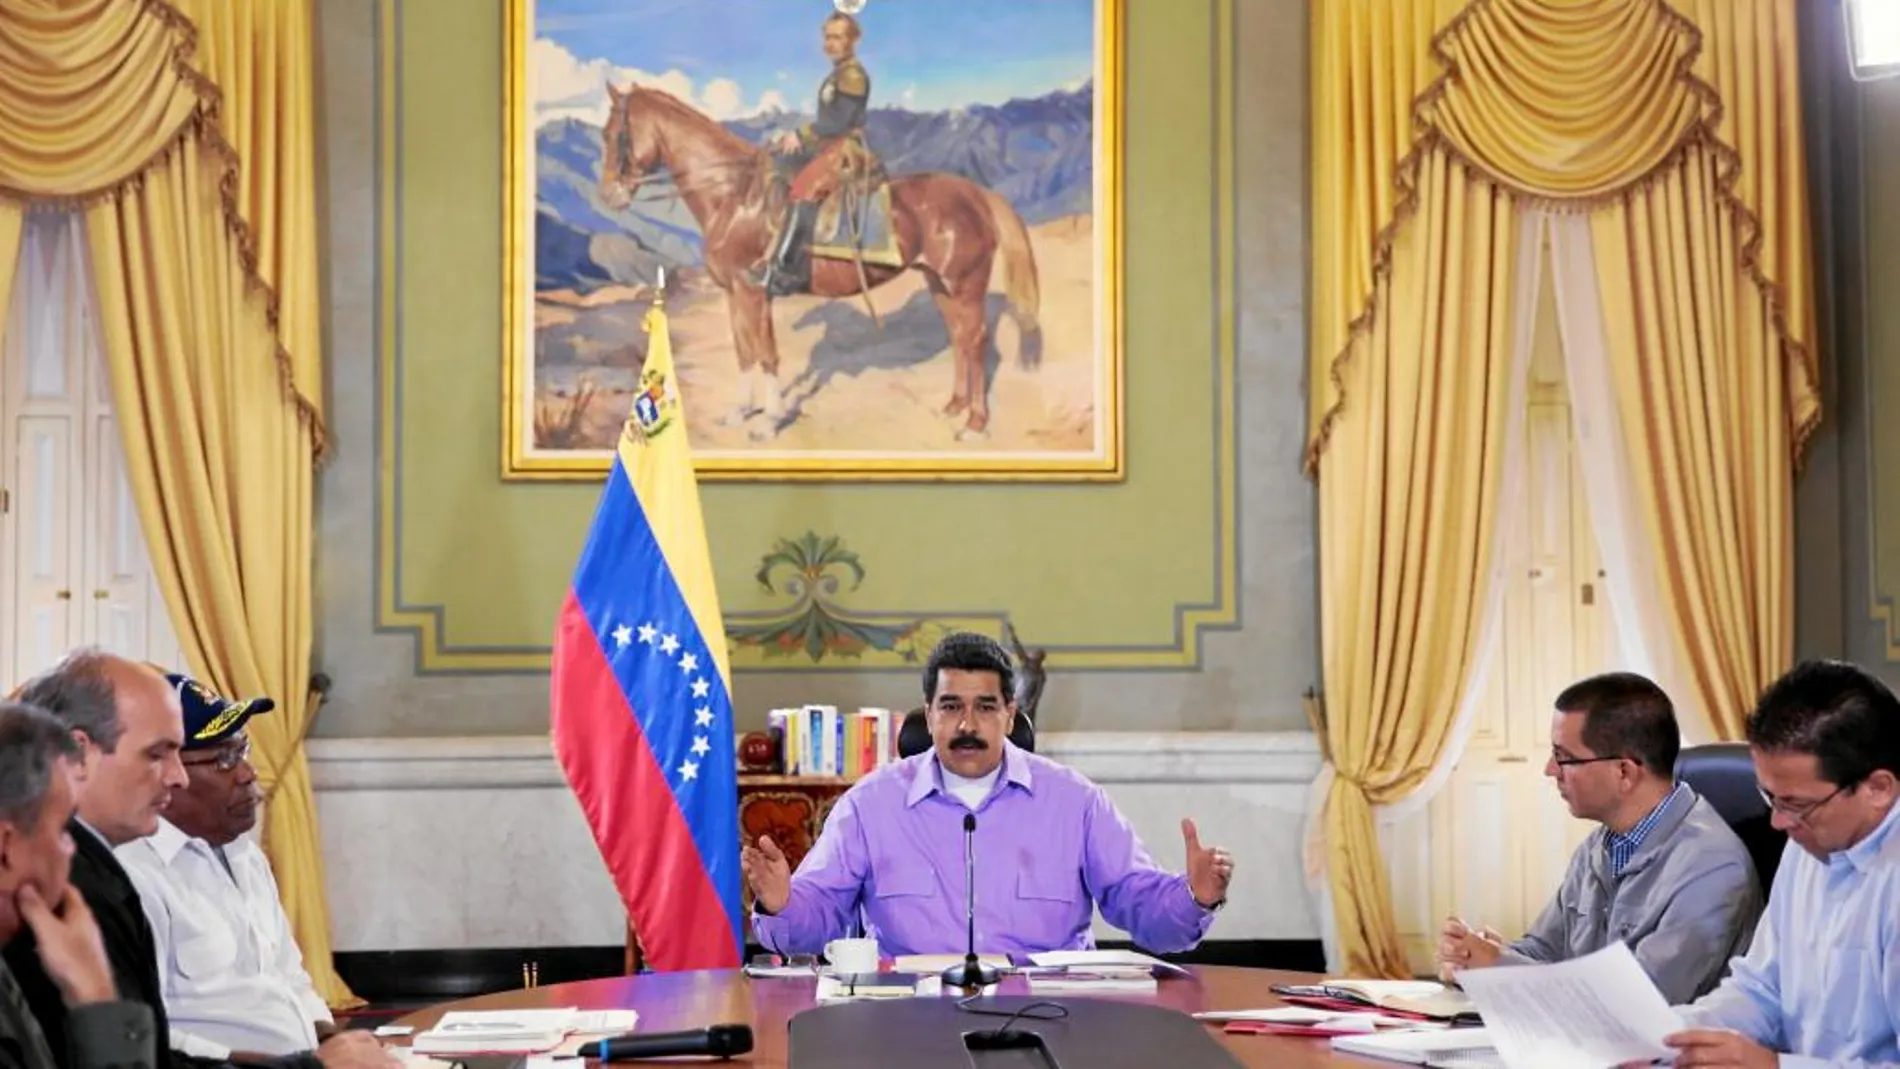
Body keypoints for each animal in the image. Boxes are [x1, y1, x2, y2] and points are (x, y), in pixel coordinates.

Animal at [596, 82, 1048, 444]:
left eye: (616, 134)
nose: (608, 196)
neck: (733, 196)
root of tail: (975, 193)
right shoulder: (734, 293)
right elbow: (744, 352)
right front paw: (741, 411)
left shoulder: (753, 291)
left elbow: (766, 354)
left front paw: (770, 422)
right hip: (939, 283)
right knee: (960, 339)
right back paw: (955, 405)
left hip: (965, 283)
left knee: (976, 341)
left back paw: (975, 423)